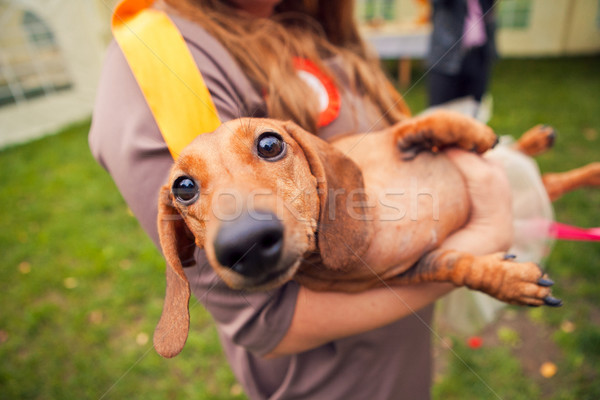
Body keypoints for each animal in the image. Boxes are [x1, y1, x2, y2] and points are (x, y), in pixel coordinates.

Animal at [154, 111, 600, 358]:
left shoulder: (392, 139)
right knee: (553, 181)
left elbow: (421, 124)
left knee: (524, 160)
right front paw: (507, 280)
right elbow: (458, 266)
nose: (245, 243)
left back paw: (535, 141)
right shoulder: (418, 267)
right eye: (183, 187)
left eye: (269, 143)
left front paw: (472, 131)